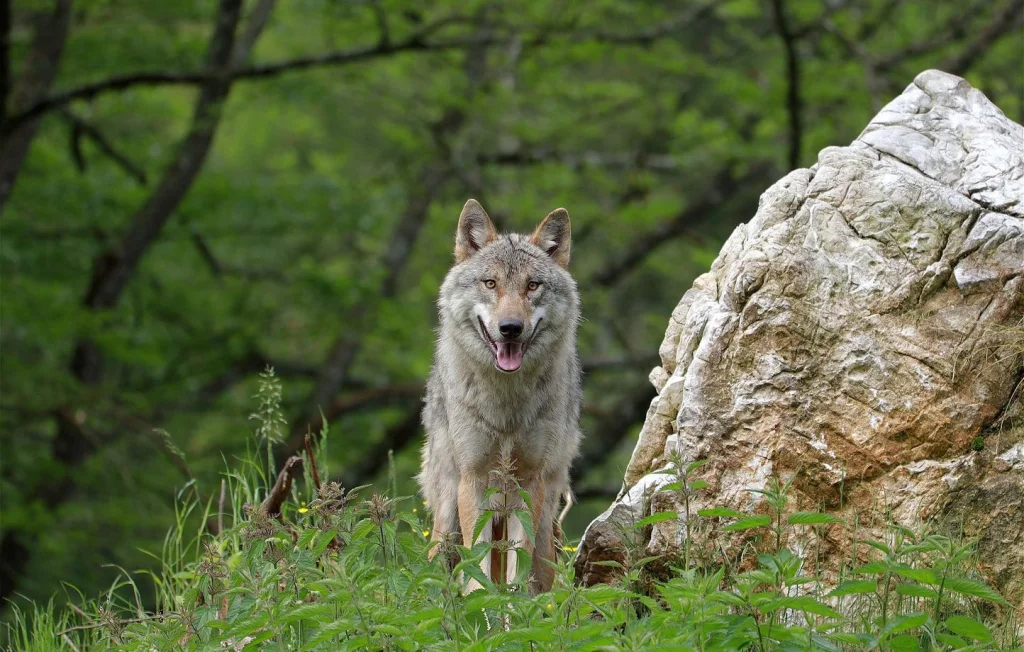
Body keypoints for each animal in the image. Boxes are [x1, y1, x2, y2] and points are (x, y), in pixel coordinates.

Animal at [417, 198, 582, 594]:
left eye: (532, 285)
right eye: (490, 283)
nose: (510, 328)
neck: (506, 407)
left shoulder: (528, 484)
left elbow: (517, 572)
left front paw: (513, 611)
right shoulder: (473, 481)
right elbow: (476, 572)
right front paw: (482, 608)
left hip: (544, 522)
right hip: (447, 517)